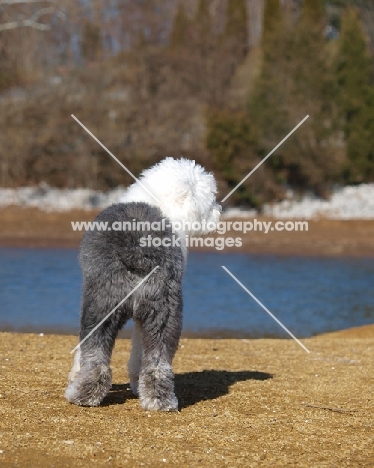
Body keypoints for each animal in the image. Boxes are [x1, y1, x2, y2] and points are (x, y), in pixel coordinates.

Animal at [65, 159, 221, 412]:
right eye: (211, 199)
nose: (219, 211)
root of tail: (139, 251)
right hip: (163, 312)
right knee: (157, 361)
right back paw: (159, 401)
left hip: (100, 306)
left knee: (95, 357)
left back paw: (81, 395)